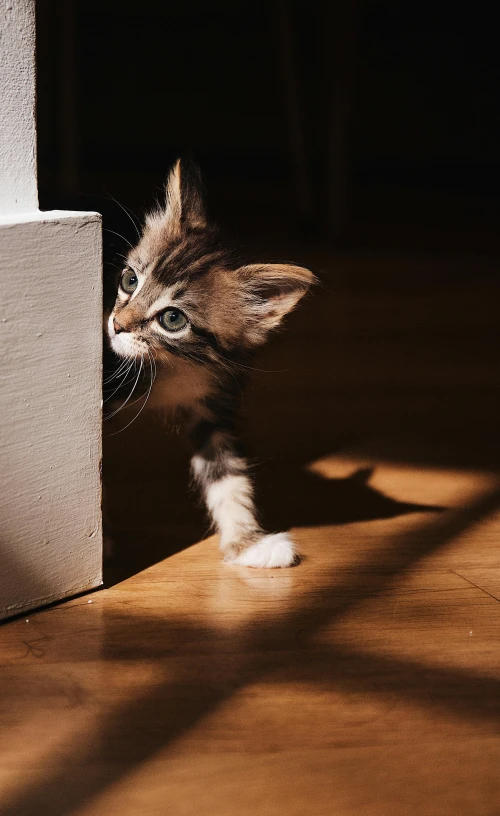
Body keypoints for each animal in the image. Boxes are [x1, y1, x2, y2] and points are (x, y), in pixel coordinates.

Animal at [107, 159, 314, 568]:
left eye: (173, 319)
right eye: (129, 280)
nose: (116, 325)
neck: (174, 367)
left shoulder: (213, 405)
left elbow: (228, 478)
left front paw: (248, 543)